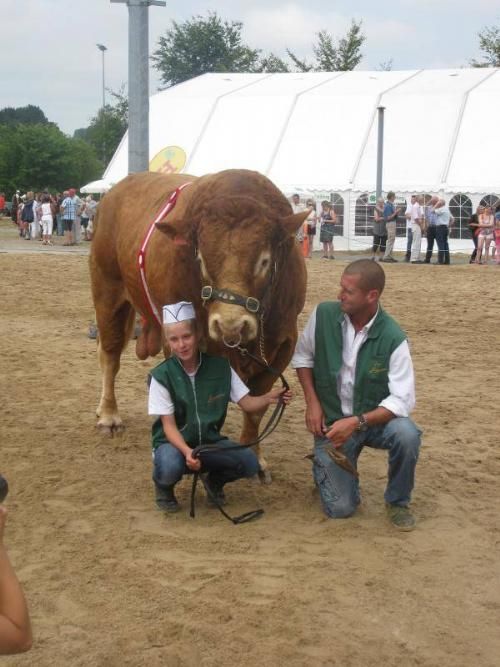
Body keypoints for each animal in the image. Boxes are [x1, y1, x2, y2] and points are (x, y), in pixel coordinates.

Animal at [90, 170, 308, 478]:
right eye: (201, 259)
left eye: (265, 261)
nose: (230, 324)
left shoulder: (285, 341)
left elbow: (256, 407)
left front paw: (255, 457)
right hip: (107, 290)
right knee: (110, 355)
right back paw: (108, 415)